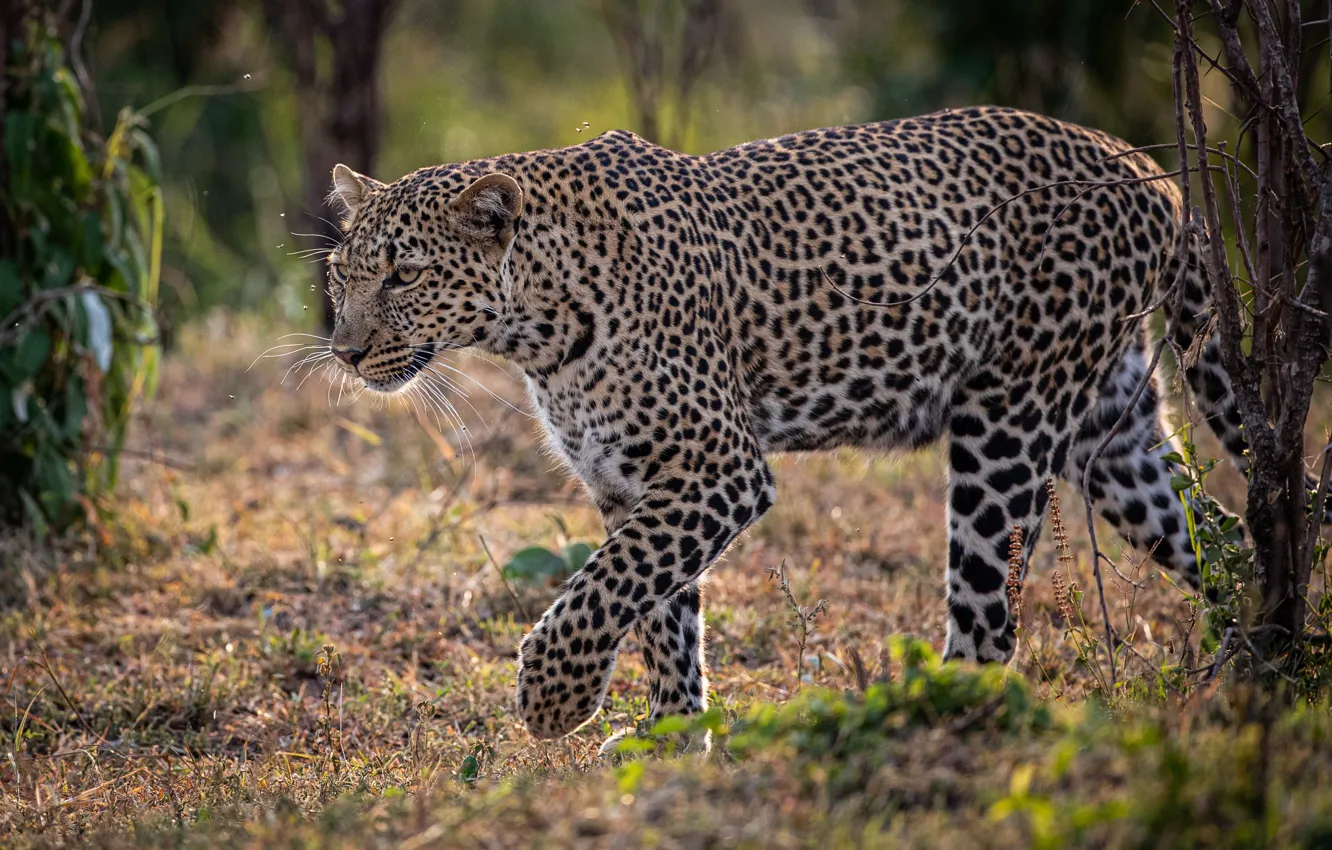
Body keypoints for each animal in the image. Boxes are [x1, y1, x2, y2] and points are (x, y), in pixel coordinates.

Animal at [320, 106, 1328, 747]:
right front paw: (675, 744)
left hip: (1007, 423)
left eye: (404, 274)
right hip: (1112, 431)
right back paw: (1253, 668)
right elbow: (659, 615)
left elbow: (606, 589)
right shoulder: (632, 481)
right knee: (1222, 536)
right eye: (342, 274)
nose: (344, 349)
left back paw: (928, 718)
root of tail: (1151, 169)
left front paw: (553, 699)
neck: (533, 323)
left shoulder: (718, 469)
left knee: (989, 618)